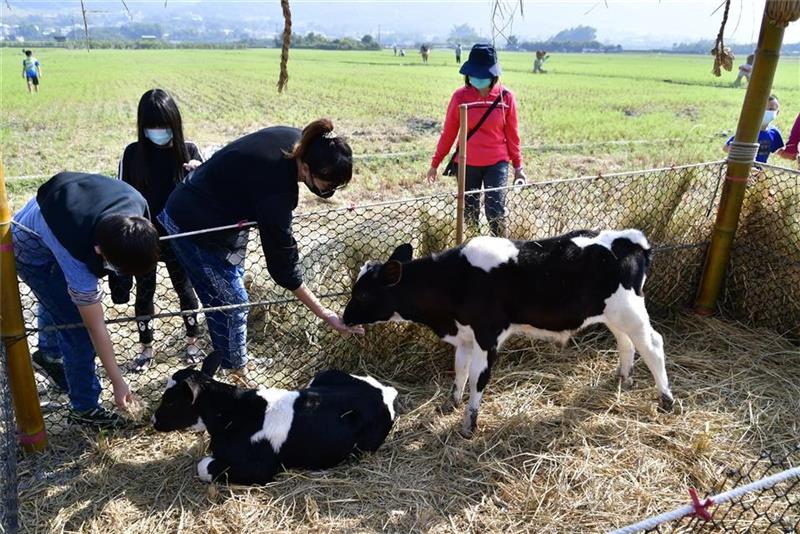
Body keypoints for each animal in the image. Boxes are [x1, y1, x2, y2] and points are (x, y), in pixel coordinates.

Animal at [151, 368, 396, 486]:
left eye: (170, 401)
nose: (153, 421)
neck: (232, 412)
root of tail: (384, 391)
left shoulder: (260, 468)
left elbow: (204, 466)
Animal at [340, 230, 672, 440]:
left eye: (364, 293)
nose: (344, 318)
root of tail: (632, 240)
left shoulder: (488, 335)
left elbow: (478, 378)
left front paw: (469, 424)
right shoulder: (465, 336)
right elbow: (460, 370)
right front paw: (451, 404)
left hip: (630, 311)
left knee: (653, 345)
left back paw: (665, 399)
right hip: (613, 314)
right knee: (627, 344)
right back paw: (624, 379)